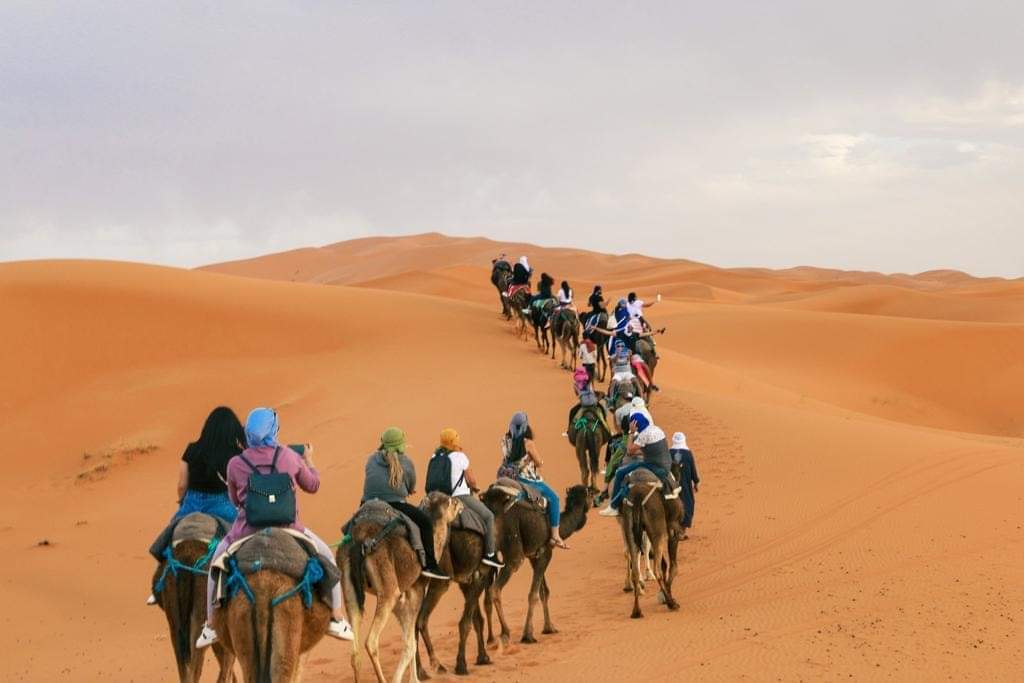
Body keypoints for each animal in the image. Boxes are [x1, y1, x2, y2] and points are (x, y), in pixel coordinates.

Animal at [339, 493, 460, 683]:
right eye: (452, 501)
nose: (461, 503)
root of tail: (360, 540)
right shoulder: (415, 591)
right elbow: (410, 644)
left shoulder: (401, 600)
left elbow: (411, 641)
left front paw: (416, 678)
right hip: (388, 589)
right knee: (371, 641)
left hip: (349, 588)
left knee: (355, 652)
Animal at [415, 520, 495, 675]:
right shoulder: (480, 575)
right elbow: (466, 623)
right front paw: (461, 665)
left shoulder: (466, 581)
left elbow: (477, 620)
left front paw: (483, 657)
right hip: (441, 578)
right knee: (421, 619)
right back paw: (435, 666)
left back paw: (421, 671)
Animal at [485, 485, 598, 647]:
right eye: (591, 492)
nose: (598, 491)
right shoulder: (546, 552)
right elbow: (534, 594)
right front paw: (528, 635)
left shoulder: (535, 555)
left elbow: (544, 591)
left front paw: (549, 627)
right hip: (513, 553)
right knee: (495, 589)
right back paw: (505, 633)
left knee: (486, 595)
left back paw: (490, 639)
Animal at [614, 471, 679, 618]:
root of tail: (638, 497)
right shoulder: (673, 532)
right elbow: (673, 566)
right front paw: (665, 597)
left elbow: (664, 563)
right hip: (657, 531)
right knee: (657, 569)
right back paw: (671, 604)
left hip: (629, 528)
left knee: (634, 567)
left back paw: (636, 610)